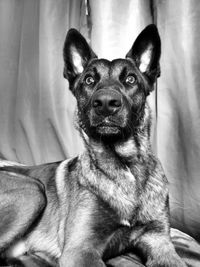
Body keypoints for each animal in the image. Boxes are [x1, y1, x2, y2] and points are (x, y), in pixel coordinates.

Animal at [0, 24, 187, 266]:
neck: (125, 166)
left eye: (131, 80)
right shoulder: (80, 250)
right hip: (33, 190)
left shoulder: (159, 241)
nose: (106, 103)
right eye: (89, 80)